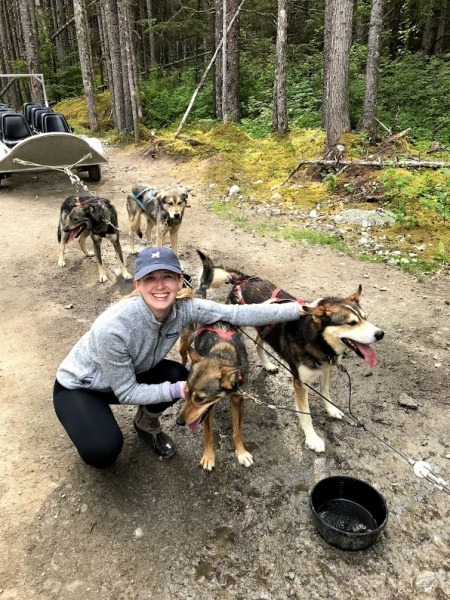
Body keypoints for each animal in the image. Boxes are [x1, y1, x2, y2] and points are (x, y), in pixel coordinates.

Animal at [176, 322, 253, 472]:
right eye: (187, 393)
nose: (179, 422)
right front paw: (208, 457)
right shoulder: (207, 412)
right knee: (183, 356)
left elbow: (237, 430)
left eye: (200, 399)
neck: (222, 352)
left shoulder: (237, 399)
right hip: (184, 342)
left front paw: (241, 452)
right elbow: (208, 433)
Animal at [195, 251, 384, 452]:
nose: (380, 334)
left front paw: (331, 409)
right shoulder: (300, 383)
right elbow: (306, 414)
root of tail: (244, 279)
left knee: (258, 343)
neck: (316, 340)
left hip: (264, 330)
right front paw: (312, 438)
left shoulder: (326, 370)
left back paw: (268, 364)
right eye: (352, 323)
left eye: (365, 318)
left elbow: (326, 393)